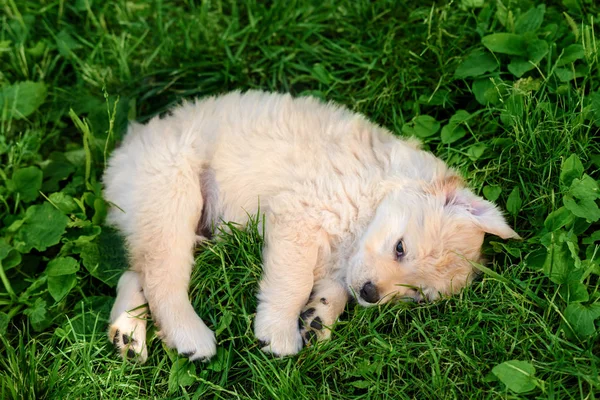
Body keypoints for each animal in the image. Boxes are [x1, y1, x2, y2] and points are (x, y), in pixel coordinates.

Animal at [102, 90, 516, 362]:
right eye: (400, 248)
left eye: (415, 296)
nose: (370, 294)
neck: (376, 189)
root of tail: (131, 143)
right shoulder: (299, 216)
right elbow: (294, 281)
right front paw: (279, 332)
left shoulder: (339, 258)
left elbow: (334, 288)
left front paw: (319, 318)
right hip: (172, 193)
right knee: (162, 278)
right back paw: (189, 336)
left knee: (135, 271)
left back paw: (128, 334)